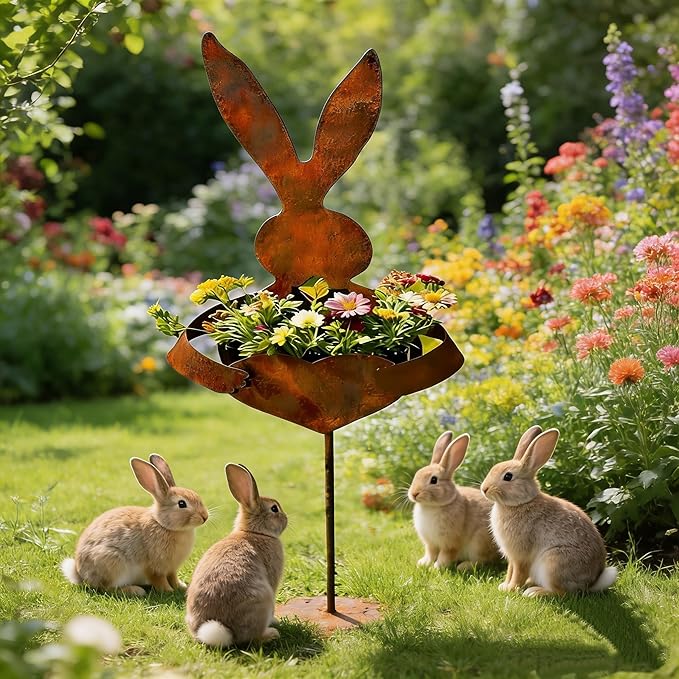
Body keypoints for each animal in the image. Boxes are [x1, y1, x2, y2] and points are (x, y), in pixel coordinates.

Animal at [60, 454, 208, 596]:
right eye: (182, 504)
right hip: (112, 562)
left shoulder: (171, 569)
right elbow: (159, 580)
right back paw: (135, 591)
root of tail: (80, 574)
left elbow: (173, 578)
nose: (205, 517)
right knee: (107, 588)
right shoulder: (154, 567)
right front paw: (169, 591)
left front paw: (181, 587)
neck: (163, 524)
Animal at [186, 463, 287, 648]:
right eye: (274, 508)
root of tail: (225, 631)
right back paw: (271, 633)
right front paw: (275, 621)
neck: (254, 532)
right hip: (263, 599)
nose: (286, 519)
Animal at [408, 431, 501, 570]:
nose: (414, 494)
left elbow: (445, 556)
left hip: (478, 544)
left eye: (434, 480)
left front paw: (436, 568)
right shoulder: (431, 543)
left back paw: (463, 566)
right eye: (416, 474)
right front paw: (424, 563)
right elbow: (430, 553)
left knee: (482, 560)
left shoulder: (450, 543)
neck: (432, 506)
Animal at [480, 426, 618, 597]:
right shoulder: (512, 557)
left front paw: (511, 588)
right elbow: (510, 570)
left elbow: (518, 572)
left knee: (561, 592)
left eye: (508, 476)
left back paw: (534, 592)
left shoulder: (520, 556)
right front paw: (504, 585)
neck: (520, 503)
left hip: (553, 562)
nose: (484, 489)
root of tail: (590, 583)